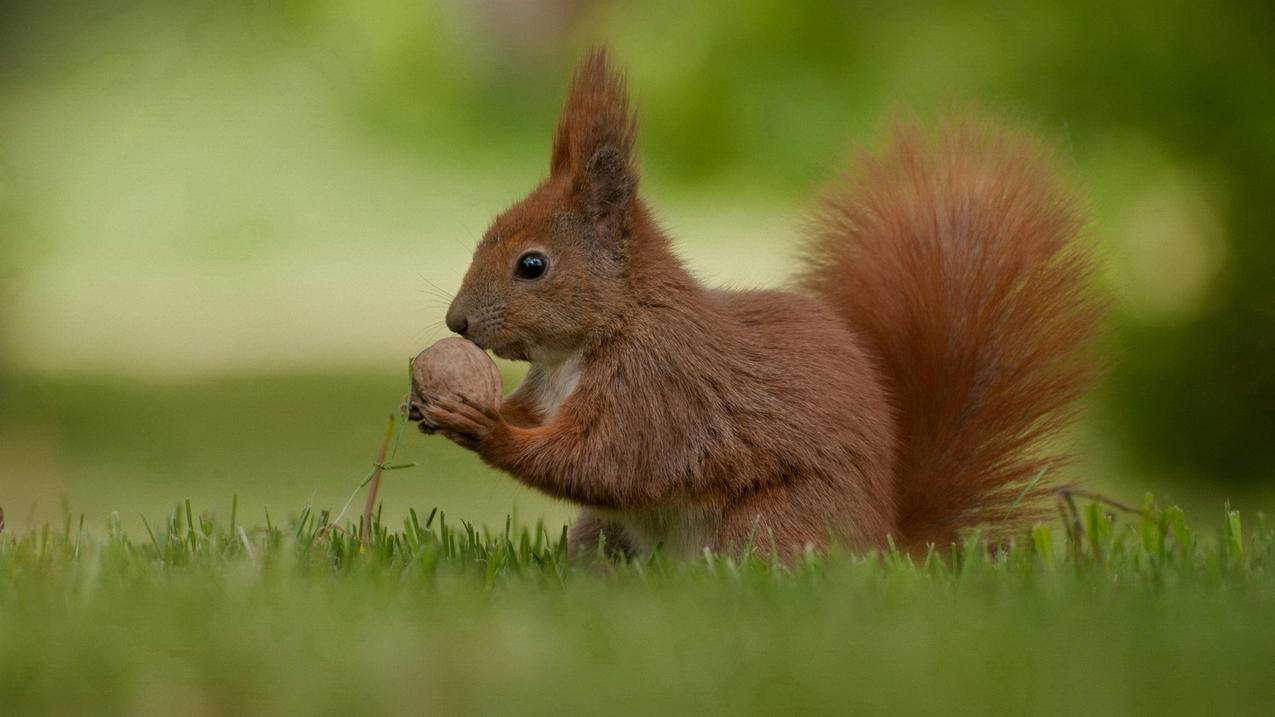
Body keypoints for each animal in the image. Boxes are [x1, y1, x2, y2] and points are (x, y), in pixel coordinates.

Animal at [413, 50, 1101, 558]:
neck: (589, 342)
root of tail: (884, 543)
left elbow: (605, 462)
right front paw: (437, 406)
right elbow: (543, 424)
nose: (456, 321)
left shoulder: (661, 388)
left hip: (768, 524)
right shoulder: (553, 390)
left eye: (533, 265)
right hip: (602, 534)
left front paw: (486, 428)